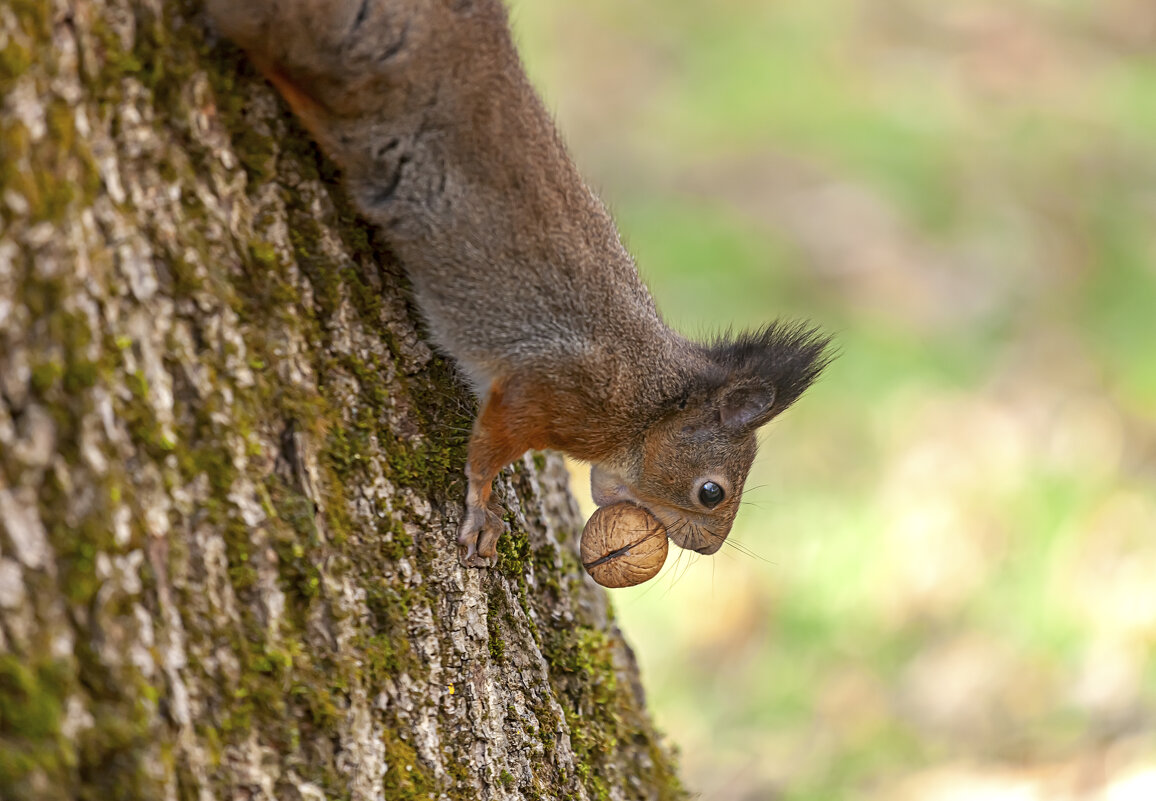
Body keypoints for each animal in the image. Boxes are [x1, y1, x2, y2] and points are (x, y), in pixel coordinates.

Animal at [210, 0, 832, 566]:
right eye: (711, 492)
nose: (707, 549)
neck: (648, 400)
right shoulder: (554, 391)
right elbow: (490, 448)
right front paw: (481, 509)